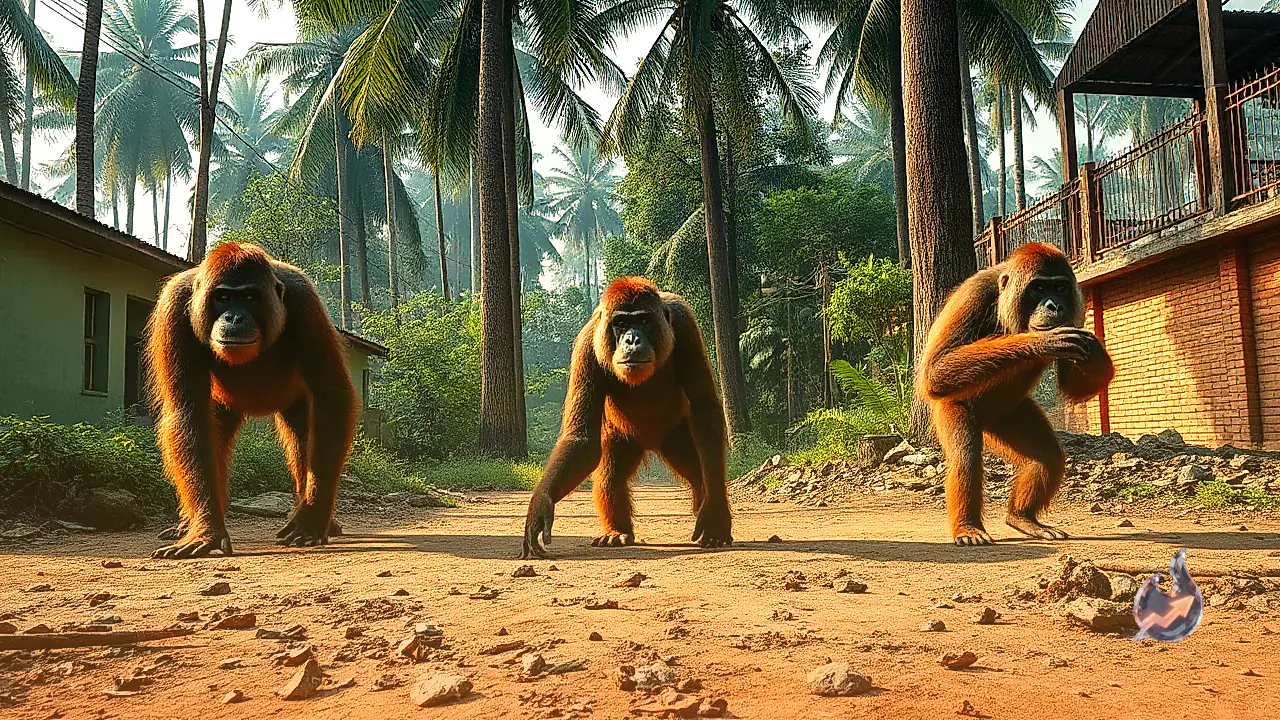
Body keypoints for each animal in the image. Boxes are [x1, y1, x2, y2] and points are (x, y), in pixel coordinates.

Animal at [147, 242, 358, 558]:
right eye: (223, 298)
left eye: (248, 297)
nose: (234, 317)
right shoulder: (174, 307)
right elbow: (187, 411)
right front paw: (207, 531)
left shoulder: (305, 301)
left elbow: (331, 393)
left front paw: (310, 520)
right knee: (213, 434)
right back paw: (189, 523)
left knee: (303, 435)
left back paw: (320, 518)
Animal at [521, 277, 732, 559]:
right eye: (621, 323)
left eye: (642, 321)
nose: (632, 340)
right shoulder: (587, 346)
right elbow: (581, 439)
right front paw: (541, 503)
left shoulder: (684, 323)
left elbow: (704, 408)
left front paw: (716, 515)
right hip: (622, 436)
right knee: (611, 475)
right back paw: (617, 531)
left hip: (676, 435)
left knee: (701, 470)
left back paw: (706, 507)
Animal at [919, 242, 1113, 546]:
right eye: (1038, 288)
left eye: (1059, 288)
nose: (1053, 305)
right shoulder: (974, 294)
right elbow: (935, 372)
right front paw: (1040, 342)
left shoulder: (1075, 313)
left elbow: (1076, 386)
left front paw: (1094, 349)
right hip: (951, 407)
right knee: (965, 454)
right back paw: (967, 527)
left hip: (1007, 414)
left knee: (1048, 455)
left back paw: (1023, 518)